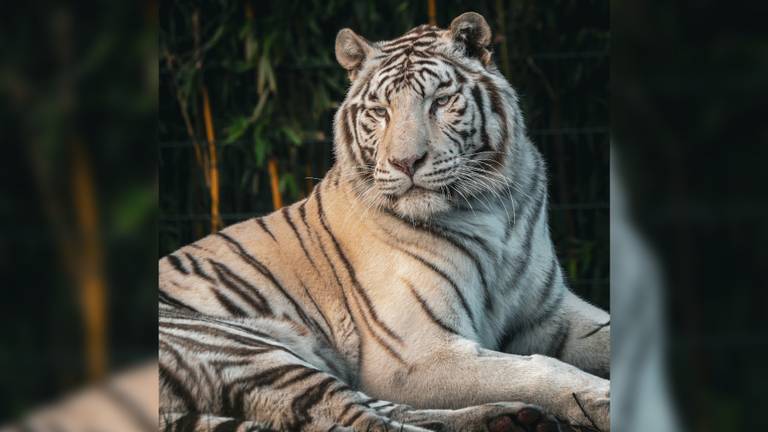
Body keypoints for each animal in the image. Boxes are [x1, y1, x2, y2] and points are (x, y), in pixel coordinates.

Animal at [159, 13, 608, 432]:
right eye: (380, 112)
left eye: (440, 102)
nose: (405, 162)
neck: (489, 207)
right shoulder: (417, 354)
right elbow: (539, 368)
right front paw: (601, 398)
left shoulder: (548, 314)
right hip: (247, 346)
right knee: (354, 416)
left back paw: (510, 418)